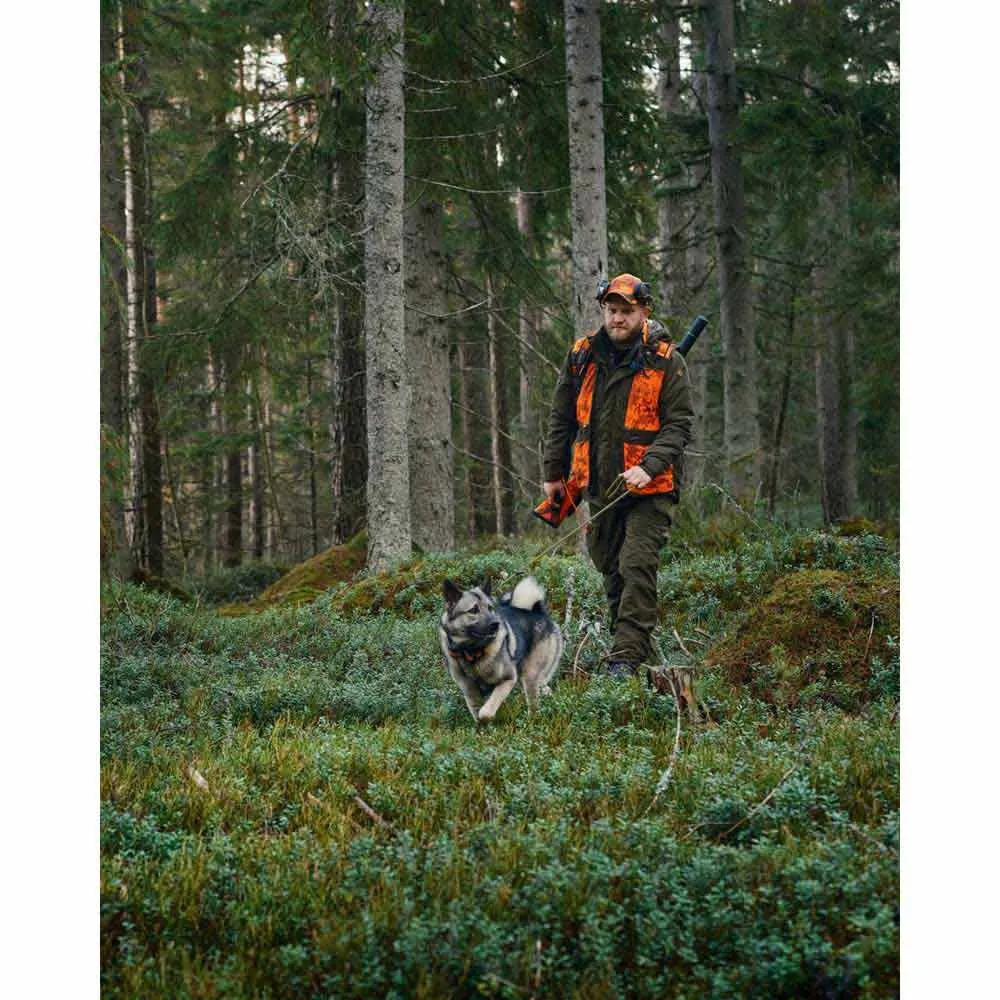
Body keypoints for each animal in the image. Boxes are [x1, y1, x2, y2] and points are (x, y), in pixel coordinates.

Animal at [439, 576, 564, 723]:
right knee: (545, 687)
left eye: (490, 608)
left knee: (533, 704)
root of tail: (538, 612)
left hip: (530, 675)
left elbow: (485, 712)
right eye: (473, 610)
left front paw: (489, 717)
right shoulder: (469, 691)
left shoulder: (508, 680)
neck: (471, 651)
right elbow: (477, 714)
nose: (495, 624)